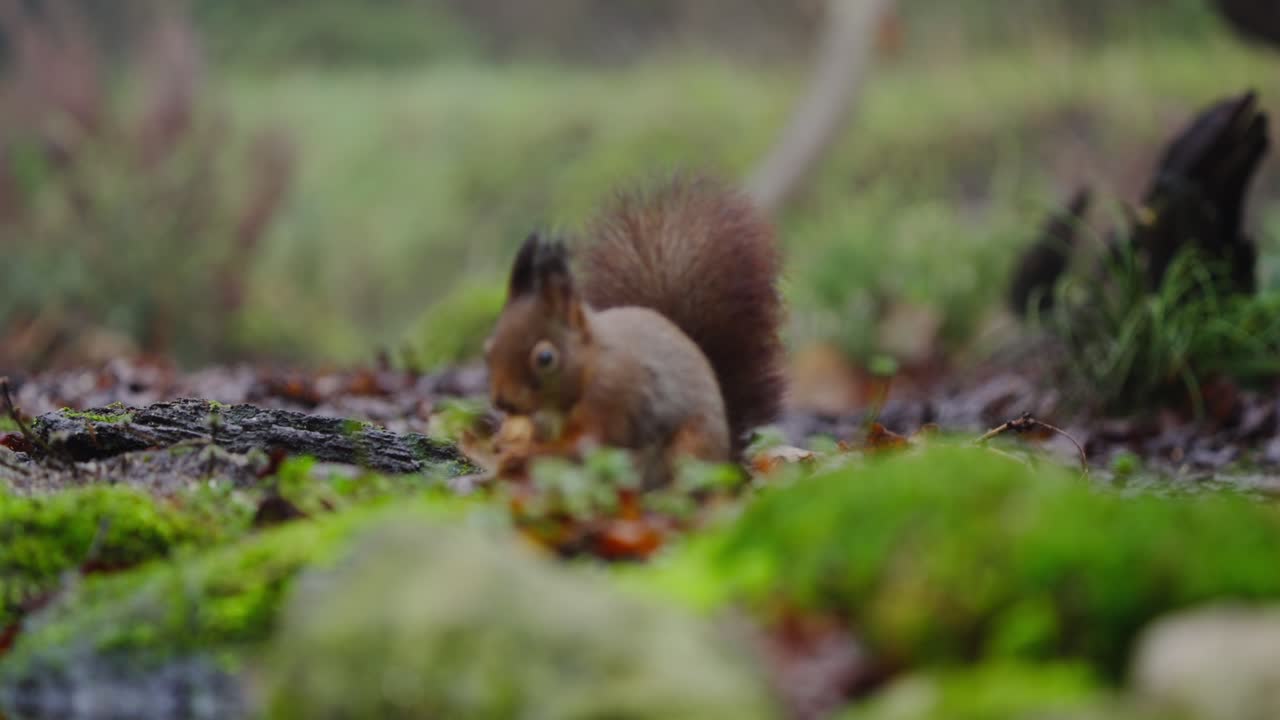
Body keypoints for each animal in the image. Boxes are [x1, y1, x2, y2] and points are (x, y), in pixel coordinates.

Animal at [483, 175, 786, 486]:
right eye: (487, 350)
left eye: (545, 359)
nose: (503, 402)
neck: (591, 363)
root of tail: (727, 458)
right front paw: (505, 439)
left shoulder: (611, 395)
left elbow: (584, 443)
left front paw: (522, 452)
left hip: (688, 450)